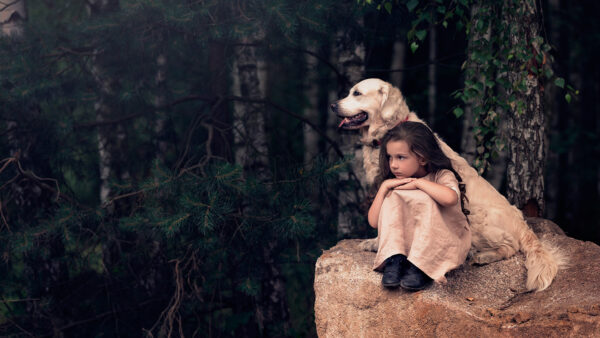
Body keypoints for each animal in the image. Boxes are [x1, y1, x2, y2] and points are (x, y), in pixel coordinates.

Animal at [332, 78, 564, 290]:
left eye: (357, 93)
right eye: (350, 92)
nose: (333, 105)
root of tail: (523, 224)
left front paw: (378, 243)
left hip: (476, 215)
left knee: (511, 246)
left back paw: (482, 255)